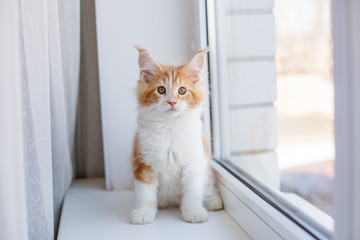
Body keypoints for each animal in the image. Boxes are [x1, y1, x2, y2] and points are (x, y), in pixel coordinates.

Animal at [130, 47, 222, 225]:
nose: (172, 102)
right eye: (161, 90)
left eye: (182, 90)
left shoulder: (194, 163)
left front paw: (193, 212)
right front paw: (143, 213)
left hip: (206, 168)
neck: (170, 127)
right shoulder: (144, 162)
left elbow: (193, 192)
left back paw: (213, 200)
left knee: (207, 185)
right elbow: (145, 194)